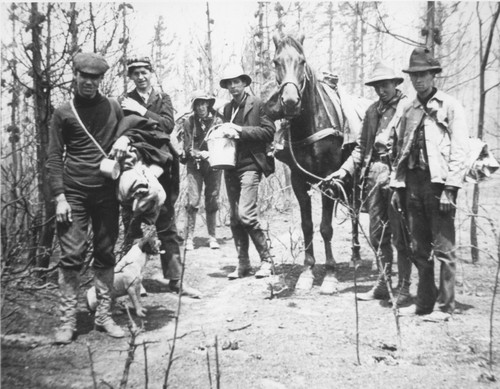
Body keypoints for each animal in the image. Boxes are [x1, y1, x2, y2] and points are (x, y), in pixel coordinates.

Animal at [268, 34, 370, 292]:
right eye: (276, 62)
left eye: (302, 61)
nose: (290, 101)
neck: (311, 123)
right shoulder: (298, 181)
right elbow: (307, 225)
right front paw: (307, 271)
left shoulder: (329, 180)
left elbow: (325, 227)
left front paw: (330, 275)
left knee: (355, 212)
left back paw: (355, 257)